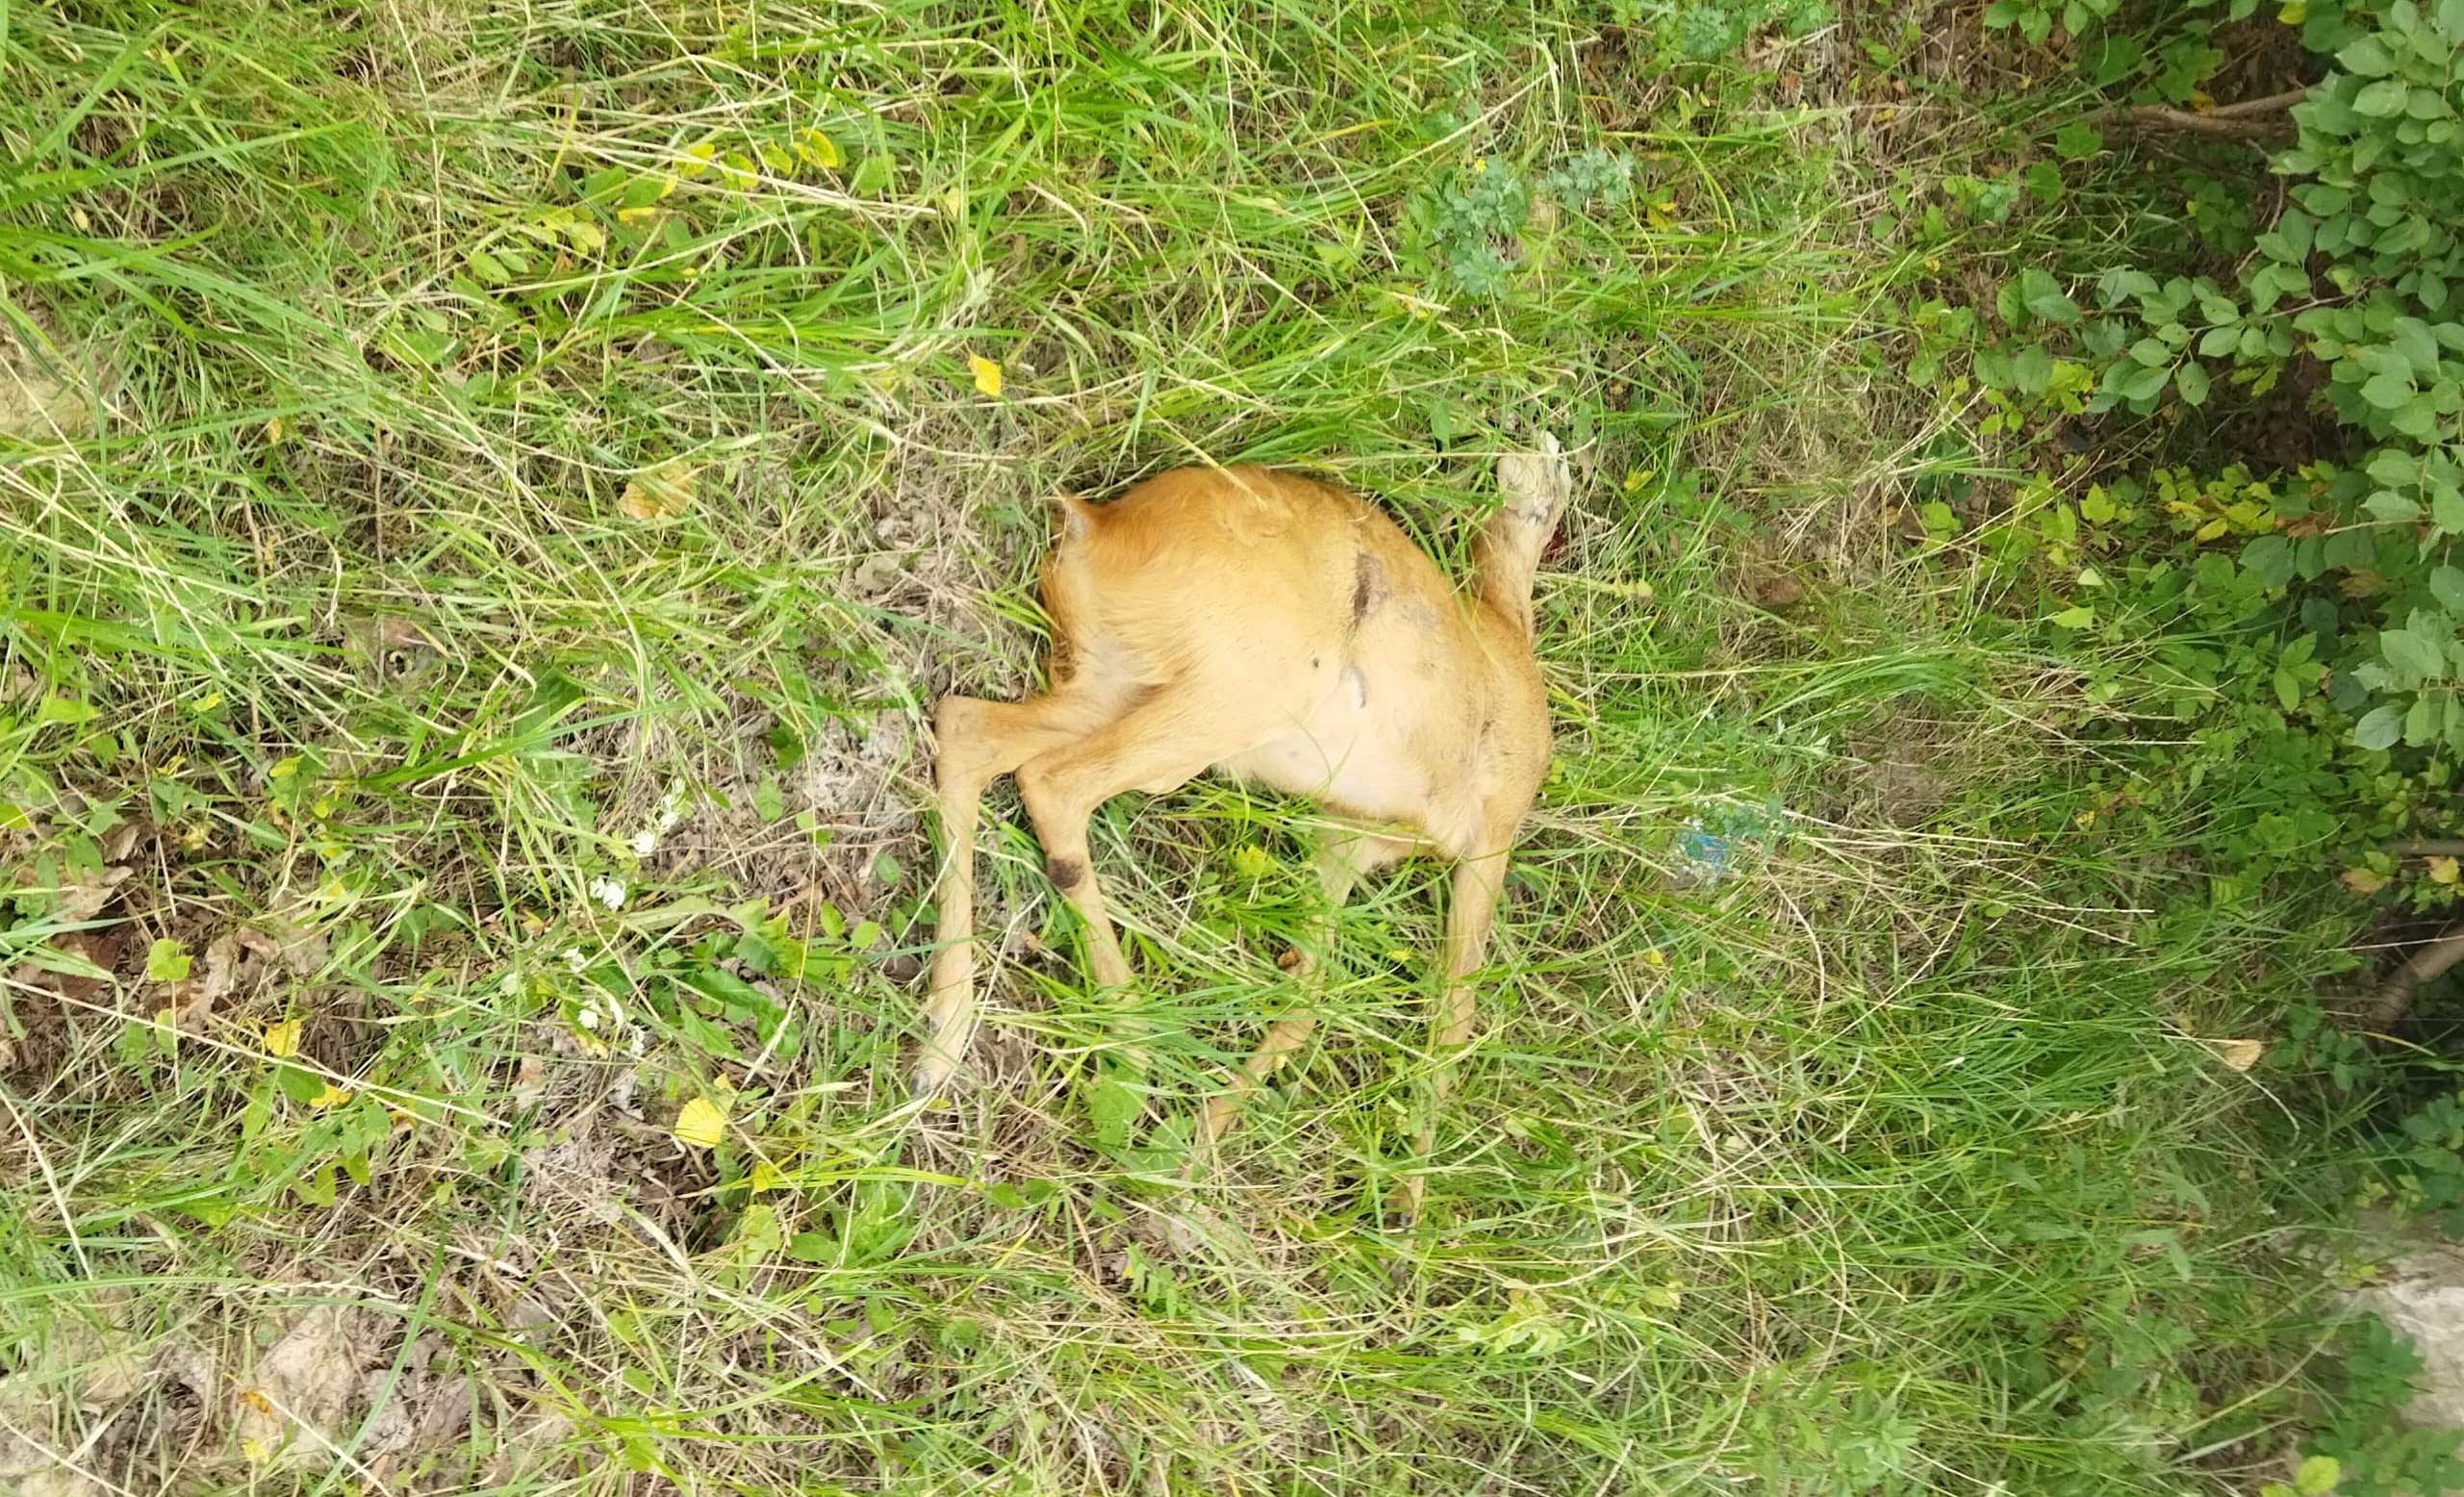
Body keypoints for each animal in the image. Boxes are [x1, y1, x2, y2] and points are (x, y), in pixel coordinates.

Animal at [926, 433, 1577, 1216]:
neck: (1507, 642)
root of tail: (1098, 522)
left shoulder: (1345, 841)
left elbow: (1307, 998)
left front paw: (1202, 1144)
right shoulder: (1489, 840)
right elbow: (1453, 1019)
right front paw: (1406, 1209)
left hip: (1114, 685)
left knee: (969, 729)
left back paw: (945, 1038)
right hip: (1240, 694)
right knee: (1054, 783)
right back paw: (1131, 1039)